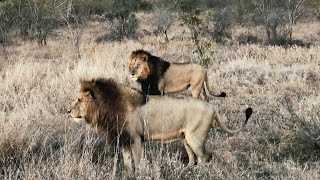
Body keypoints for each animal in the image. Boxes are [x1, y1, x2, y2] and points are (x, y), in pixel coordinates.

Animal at [68, 78, 252, 172]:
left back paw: (198, 174)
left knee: (203, 157)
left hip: (195, 138)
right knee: (192, 157)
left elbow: (138, 160)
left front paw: (140, 174)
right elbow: (127, 162)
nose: (68, 111)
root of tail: (212, 107)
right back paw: (186, 171)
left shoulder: (136, 138)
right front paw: (128, 174)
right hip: (186, 138)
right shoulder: (125, 139)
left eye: (79, 99)